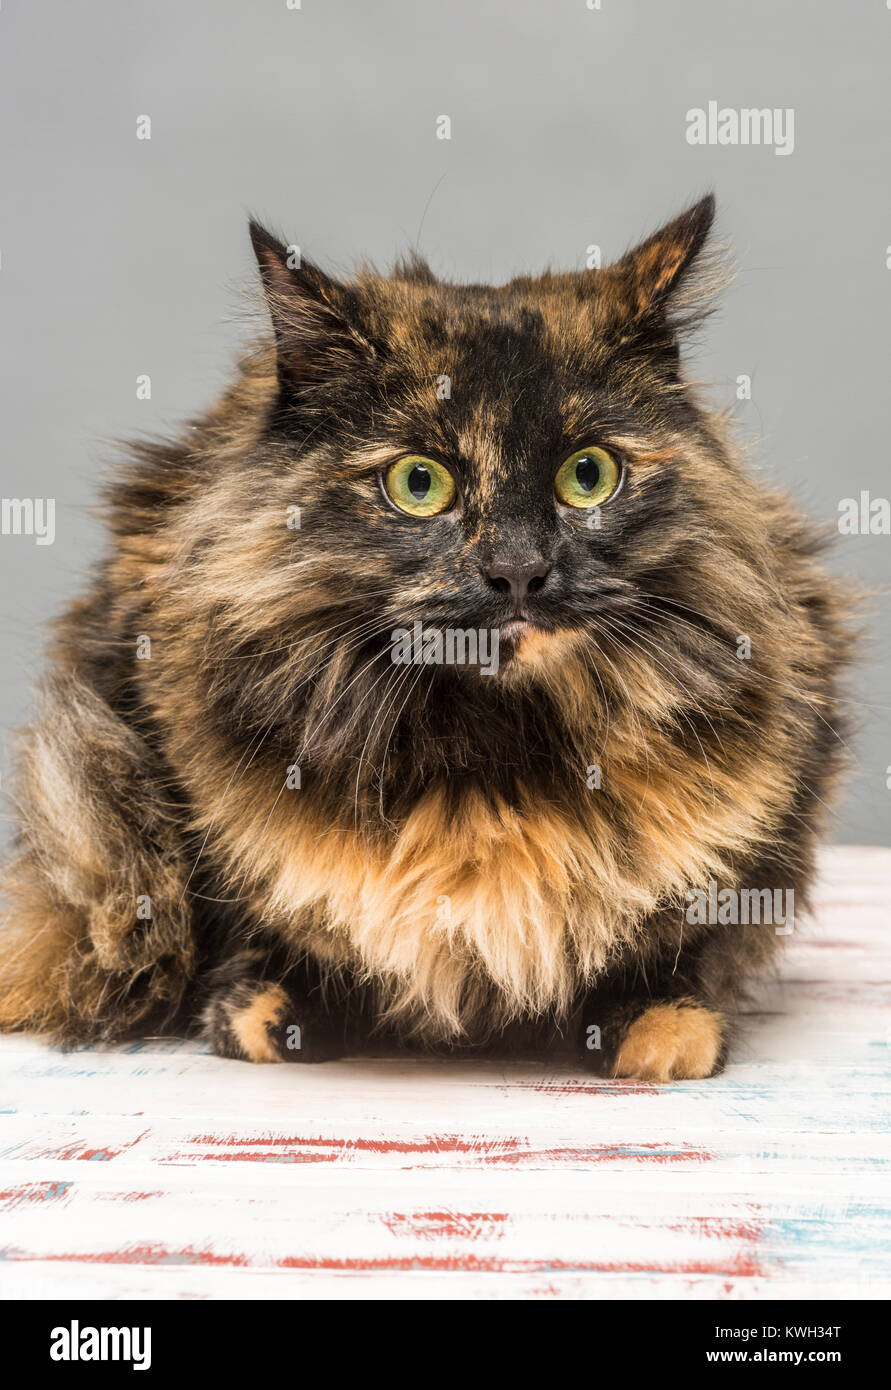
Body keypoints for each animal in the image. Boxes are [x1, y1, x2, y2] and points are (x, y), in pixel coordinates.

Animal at [0, 195, 850, 1078]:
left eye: (587, 475)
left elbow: (683, 937)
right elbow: (255, 919)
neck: (495, 761)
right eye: (418, 482)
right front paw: (272, 1011)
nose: (519, 570)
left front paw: (657, 1023)